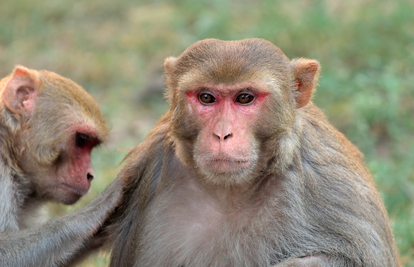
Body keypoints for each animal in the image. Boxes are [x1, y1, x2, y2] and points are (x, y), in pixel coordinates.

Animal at [105, 38, 400, 267]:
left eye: (244, 98)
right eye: (206, 98)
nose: (222, 134)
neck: (231, 191)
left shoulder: (329, 182)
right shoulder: (156, 155)